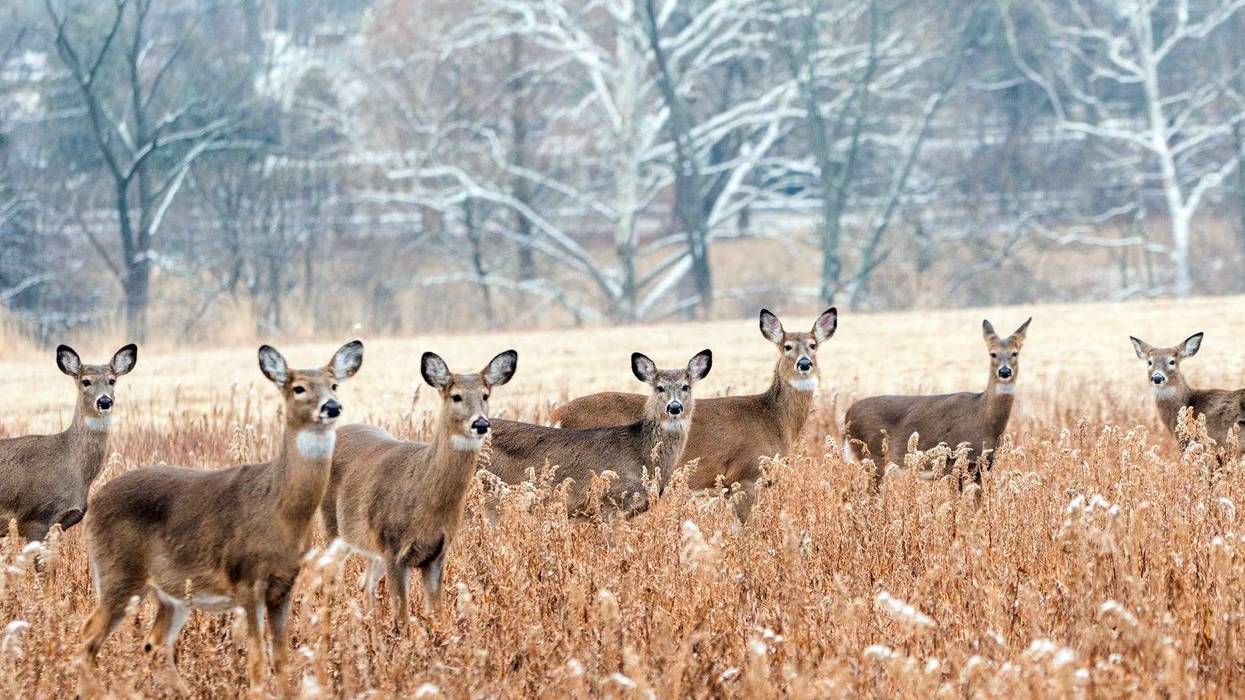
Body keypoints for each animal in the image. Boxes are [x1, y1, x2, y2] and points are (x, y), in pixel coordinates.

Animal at [78, 341, 363, 694]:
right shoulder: (247, 580)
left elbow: (282, 660)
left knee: (154, 645)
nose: (332, 406)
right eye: (298, 388)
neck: (279, 509)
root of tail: (94, 501)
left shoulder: (284, 585)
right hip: (118, 572)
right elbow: (257, 661)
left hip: (171, 593)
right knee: (88, 638)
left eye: (334, 384)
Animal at [321, 349, 517, 625]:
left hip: (369, 544)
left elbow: (438, 613)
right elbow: (402, 617)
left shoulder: (437, 554)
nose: (480, 424)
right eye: (456, 396)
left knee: (364, 582)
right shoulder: (393, 549)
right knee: (330, 578)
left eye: (485, 395)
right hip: (333, 527)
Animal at [551, 308, 836, 521]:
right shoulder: (746, 474)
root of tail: (556, 414)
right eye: (787, 346)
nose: (804, 364)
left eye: (813, 345)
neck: (775, 419)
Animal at [844, 318, 1031, 491]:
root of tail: (847, 415)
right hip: (872, 457)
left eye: (1015, 353)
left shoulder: (982, 468)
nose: (1004, 371)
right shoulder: (952, 465)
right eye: (993, 353)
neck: (982, 419)